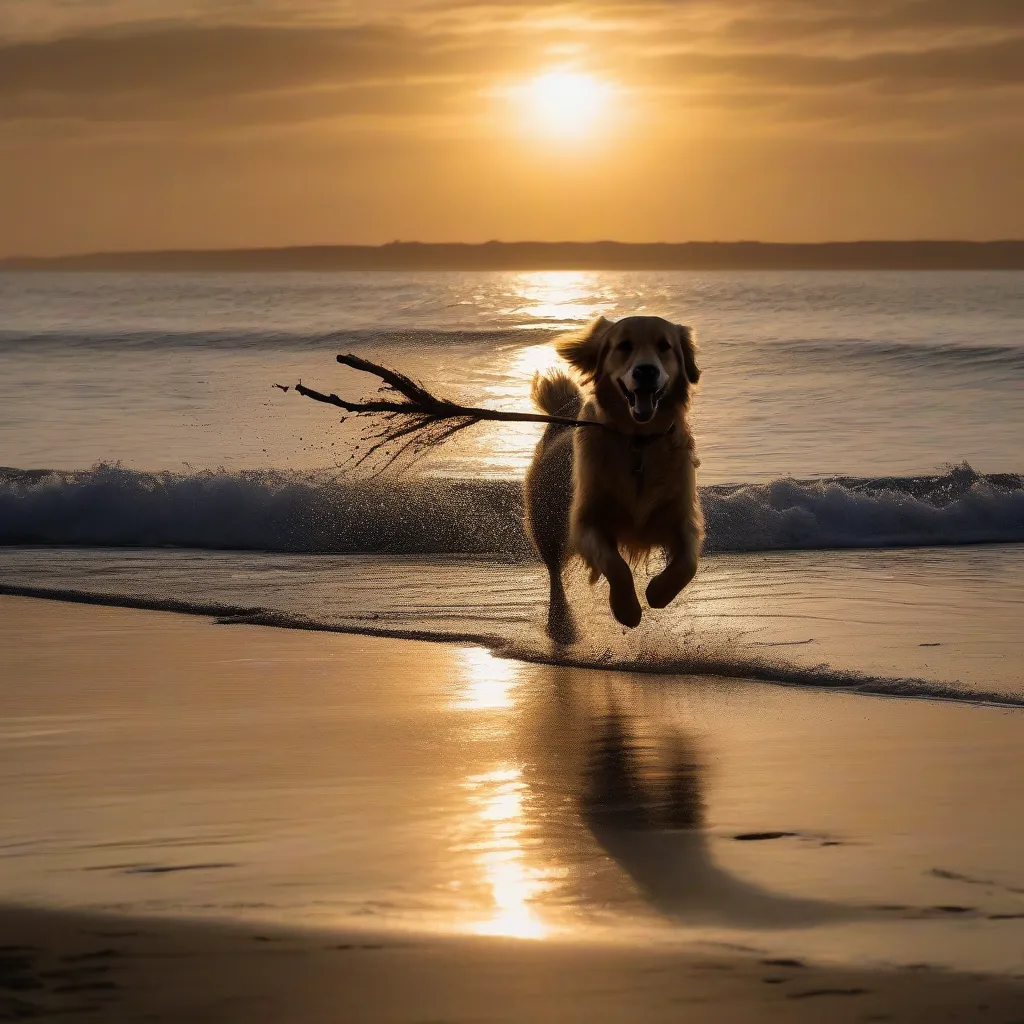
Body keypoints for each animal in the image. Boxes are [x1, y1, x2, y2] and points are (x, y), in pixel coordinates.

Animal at [524, 315, 700, 643]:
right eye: (624, 346)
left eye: (665, 345)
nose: (646, 371)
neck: (638, 443)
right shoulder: (587, 520)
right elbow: (615, 565)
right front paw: (627, 610)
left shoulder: (681, 515)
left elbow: (688, 563)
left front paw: (658, 593)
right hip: (546, 519)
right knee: (554, 572)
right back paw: (561, 625)